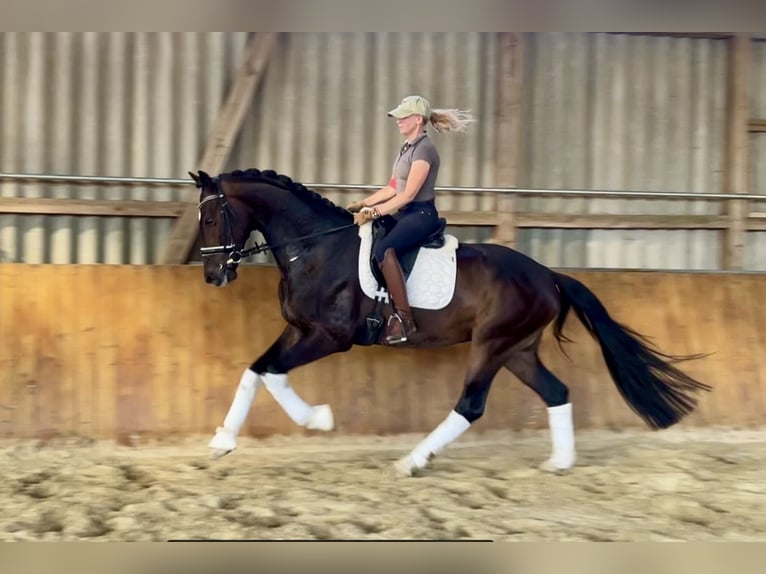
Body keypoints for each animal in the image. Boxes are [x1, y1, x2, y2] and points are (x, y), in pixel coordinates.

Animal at [189, 169, 712, 480]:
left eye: (212, 217)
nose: (213, 275)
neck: (315, 248)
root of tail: (548, 276)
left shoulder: (329, 337)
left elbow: (273, 374)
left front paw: (319, 418)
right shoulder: (299, 330)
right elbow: (256, 370)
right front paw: (222, 442)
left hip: (492, 345)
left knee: (471, 405)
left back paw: (411, 461)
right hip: (518, 350)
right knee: (557, 392)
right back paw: (560, 463)